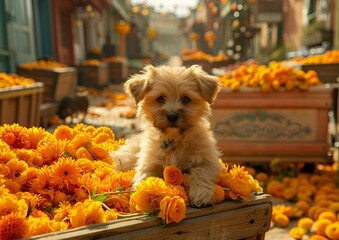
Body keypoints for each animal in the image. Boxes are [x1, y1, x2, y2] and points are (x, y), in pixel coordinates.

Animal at [111, 64, 222, 207]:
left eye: (186, 99)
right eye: (160, 99)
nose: (172, 116)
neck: (174, 139)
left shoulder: (208, 161)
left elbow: (200, 172)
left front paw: (201, 194)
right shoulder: (148, 164)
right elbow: (145, 178)